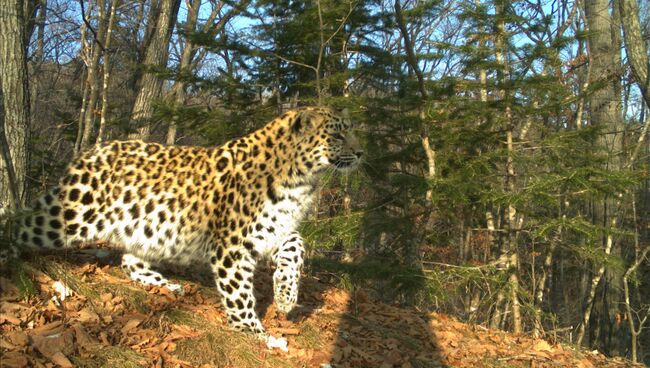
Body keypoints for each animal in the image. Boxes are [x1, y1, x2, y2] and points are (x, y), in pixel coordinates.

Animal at [5, 106, 360, 348]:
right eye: (338, 134)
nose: (360, 152)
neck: (303, 179)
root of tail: (91, 151)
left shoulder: (275, 229)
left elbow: (297, 245)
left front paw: (286, 297)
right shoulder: (231, 243)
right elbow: (239, 294)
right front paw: (252, 331)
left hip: (147, 229)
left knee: (129, 260)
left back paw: (167, 285)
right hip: (72, 215)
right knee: (19, 223)